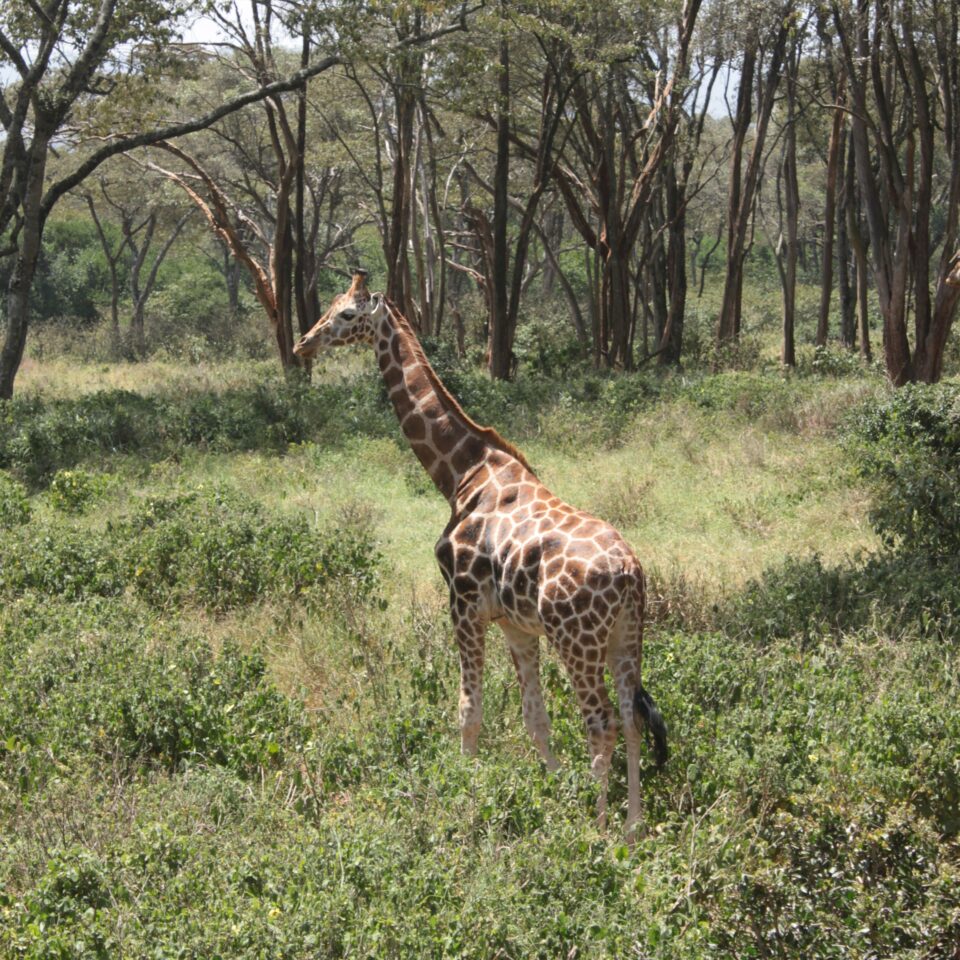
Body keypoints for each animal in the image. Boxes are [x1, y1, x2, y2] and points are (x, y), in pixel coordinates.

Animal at [294, 270, 668, 840]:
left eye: (346, 315)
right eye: (332, 307)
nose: (303, 344)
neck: (460, 472)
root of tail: (629, 572)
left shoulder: (463, 603)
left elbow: (468, 711)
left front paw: (466, 794)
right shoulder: (516, 624)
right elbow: (535, 720)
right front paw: (554, 790)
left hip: (576, 639)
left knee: (599, 721)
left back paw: (598, 830)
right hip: (627, 634)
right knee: (629, 718)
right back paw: (632, 826)